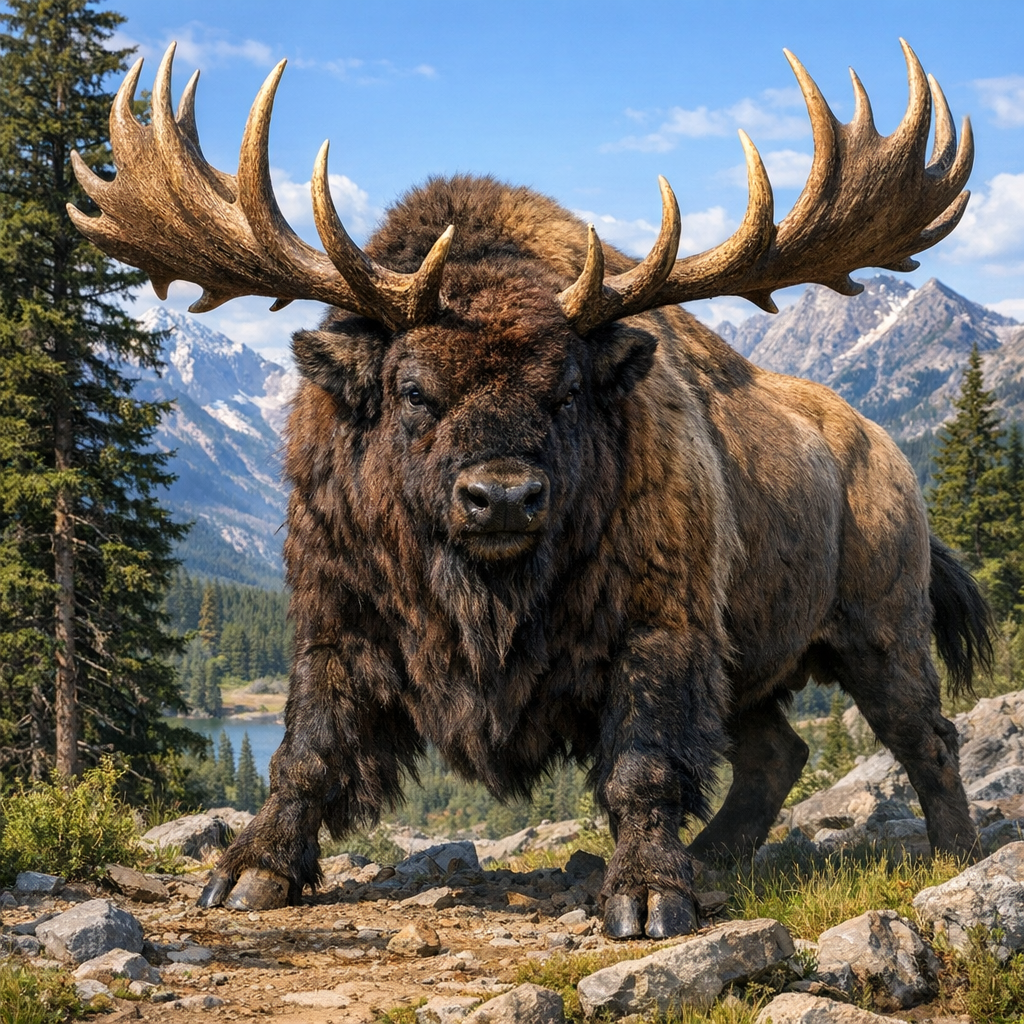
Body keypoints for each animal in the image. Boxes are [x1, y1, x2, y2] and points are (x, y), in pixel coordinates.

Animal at [70, 40, 991, 939]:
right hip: (756, 665)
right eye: (412, 389)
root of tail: (886, 454)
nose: (504, 498)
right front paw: (252, 870)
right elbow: (307, 752)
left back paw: (954, 854)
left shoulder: (661, 624)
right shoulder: (337, 615)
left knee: (928, 736)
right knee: (779, 753)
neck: (486, 600)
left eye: (570, 387)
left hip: (881, 629)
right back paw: (721, 856)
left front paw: (649, 891)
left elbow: (641, 770)